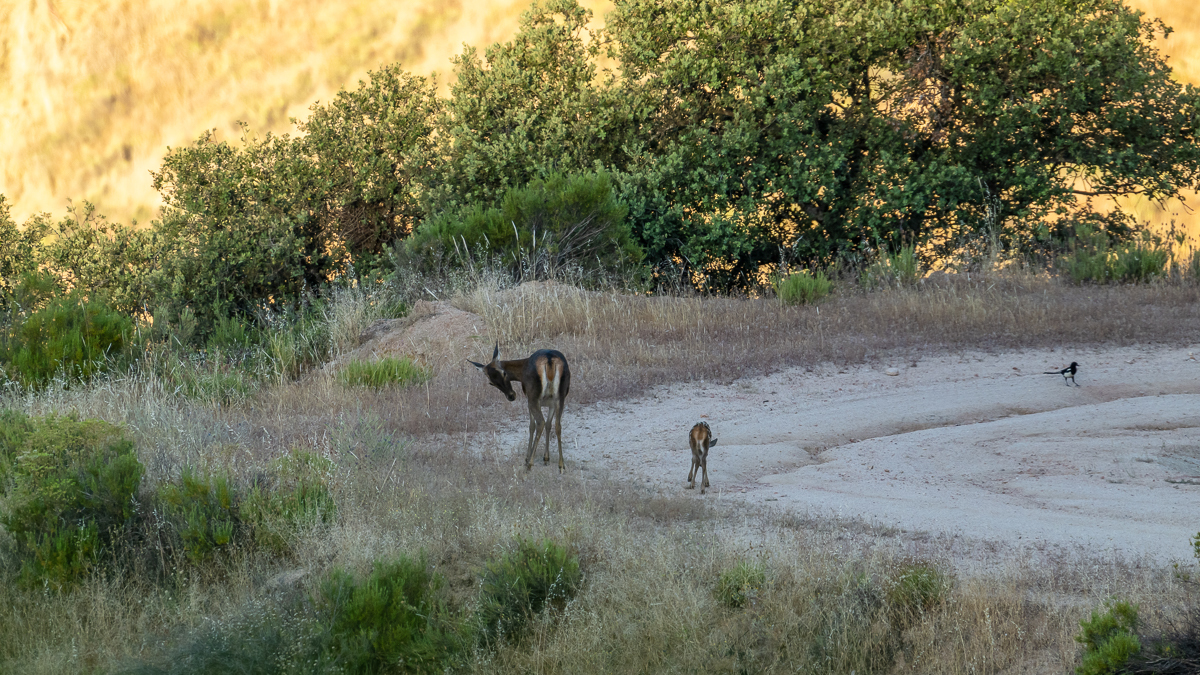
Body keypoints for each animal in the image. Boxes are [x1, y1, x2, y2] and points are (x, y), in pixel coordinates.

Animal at [470, 344, 571, 472]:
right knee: (557, 425)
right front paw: (546, 459)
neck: (522, 367)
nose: (511, 396)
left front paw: (527, 458)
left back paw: (529, 464)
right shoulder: (551, 403)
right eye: (491, 382)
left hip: (533, 399)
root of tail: (549, 360)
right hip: (560, 398)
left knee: (540, 423)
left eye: (504, 373)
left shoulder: (529, 399)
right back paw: (561, 465)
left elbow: (532, 426)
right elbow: (549, 425)